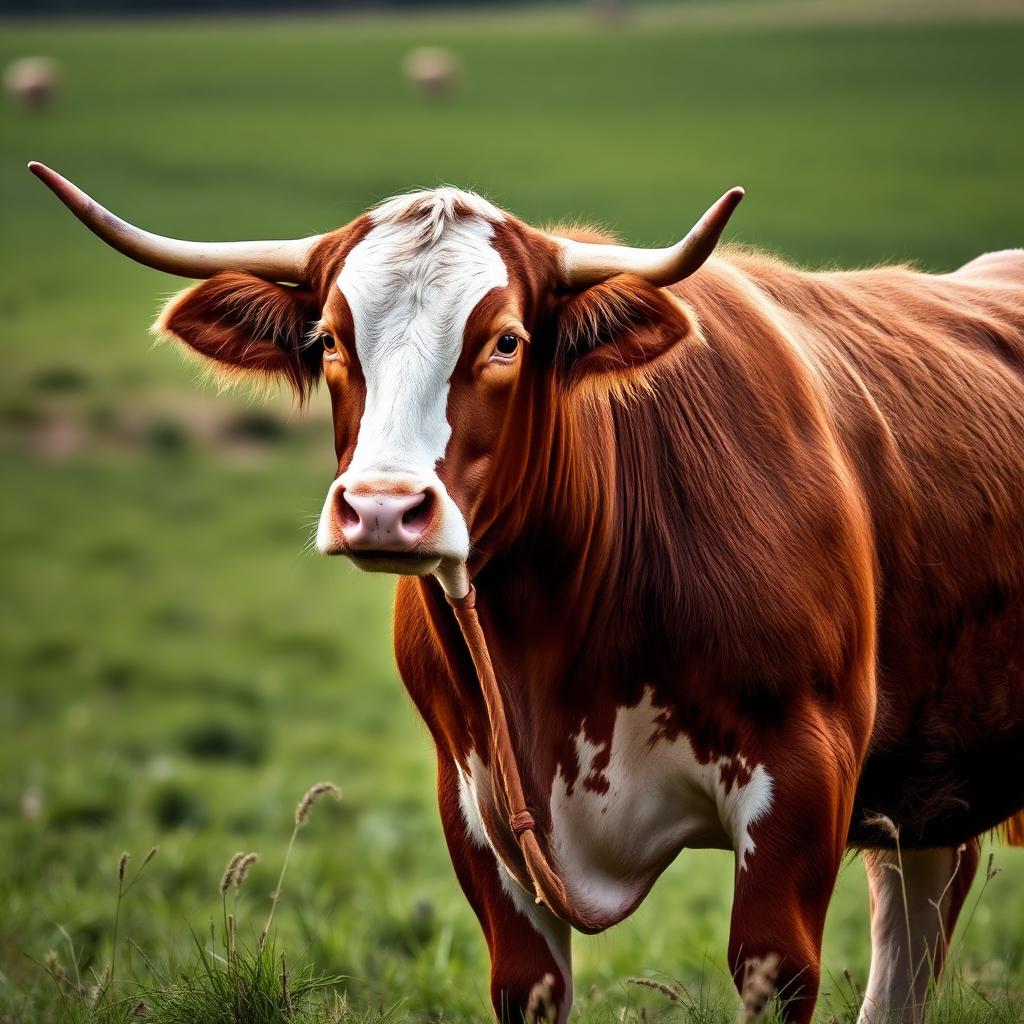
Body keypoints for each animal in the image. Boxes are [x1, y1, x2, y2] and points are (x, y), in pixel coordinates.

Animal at [30, 160, 1024, 1024]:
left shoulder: (803, 783)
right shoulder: (477, 809)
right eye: (330, 341)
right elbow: (529, 985)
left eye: (506, 339)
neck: (554, 640)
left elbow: (771, 973)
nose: (382, 509)